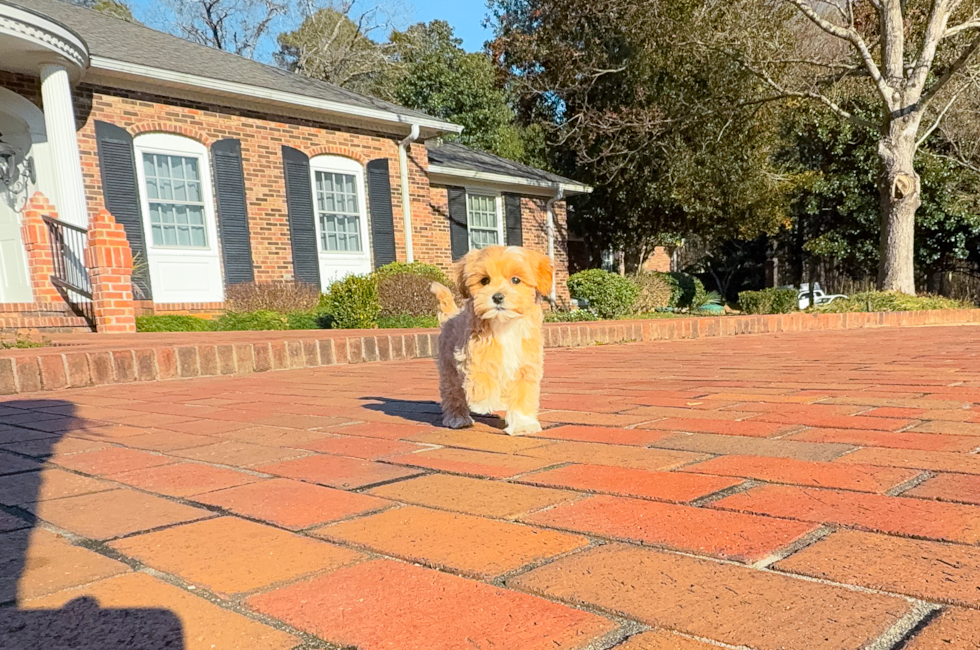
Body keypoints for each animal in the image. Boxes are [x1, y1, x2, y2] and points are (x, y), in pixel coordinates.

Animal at [428, 244, 552, 436]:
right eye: (484, 280)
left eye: (515, 280)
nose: (497, 297)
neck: (504, 324)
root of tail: (452, 316)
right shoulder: (471, 353)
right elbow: (481, 374)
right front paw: (484, 402)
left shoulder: (525, 366)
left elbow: (523, 395)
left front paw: (522, 424)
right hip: (449, 370)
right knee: (453, 394)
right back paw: (457, 418)